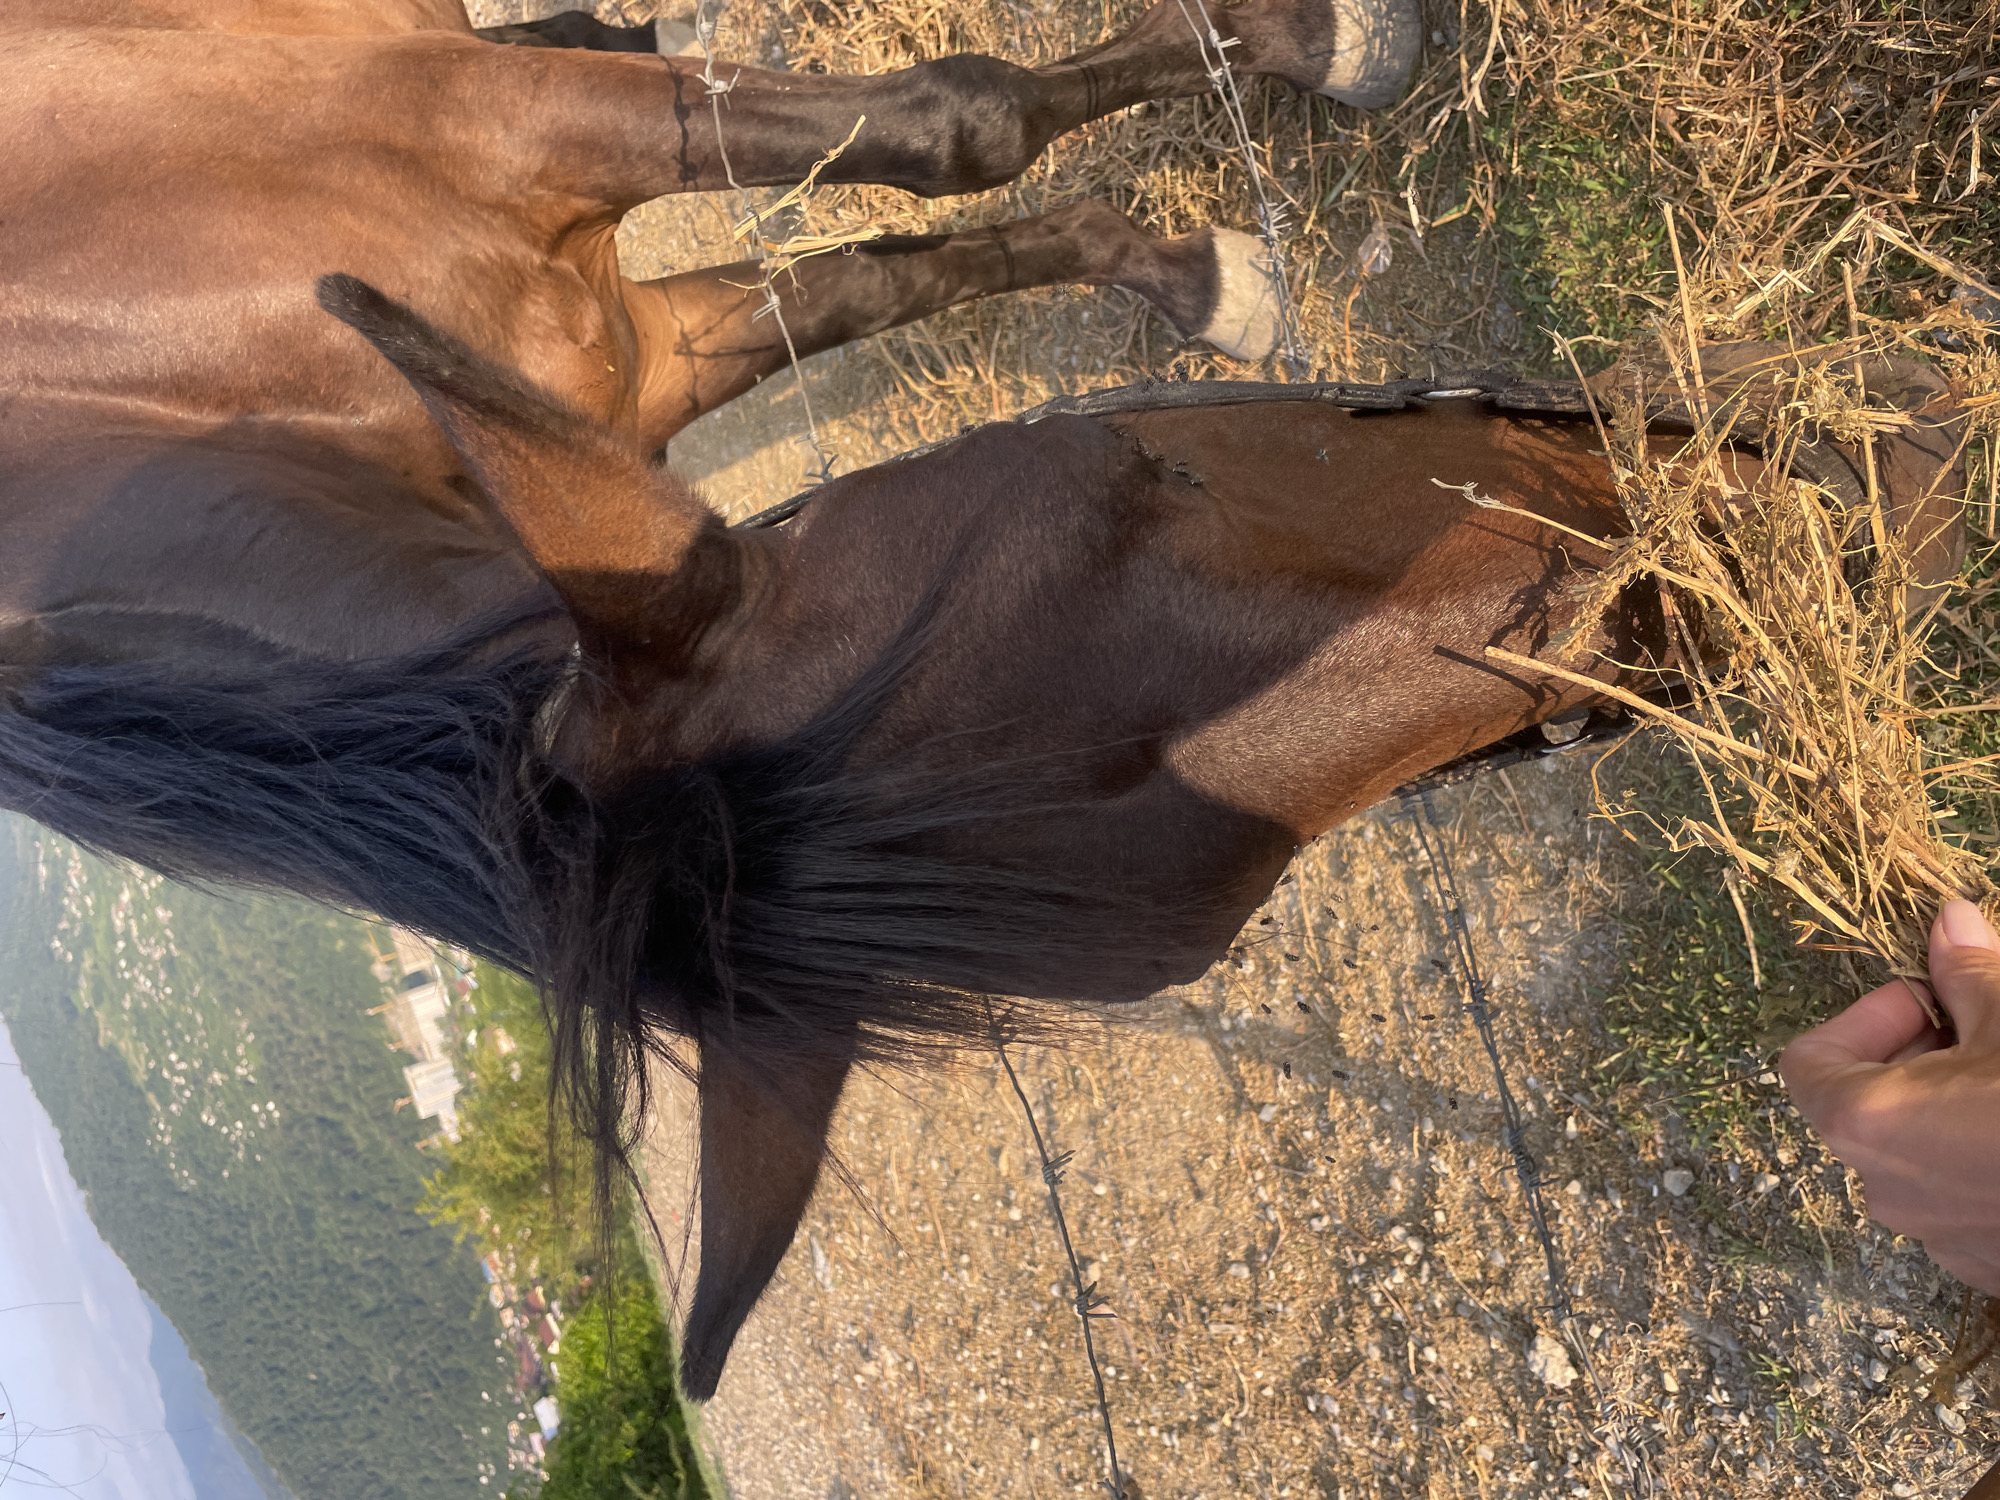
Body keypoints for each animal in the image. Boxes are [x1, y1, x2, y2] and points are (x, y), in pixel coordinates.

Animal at [0, 0, 1970, 1403]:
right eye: (1147, 470)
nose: (1819, 512)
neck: (158, 368)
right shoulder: (563, 274)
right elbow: (900, 200)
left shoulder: (547, 228)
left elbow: (936, 157)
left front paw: (1246, 154)